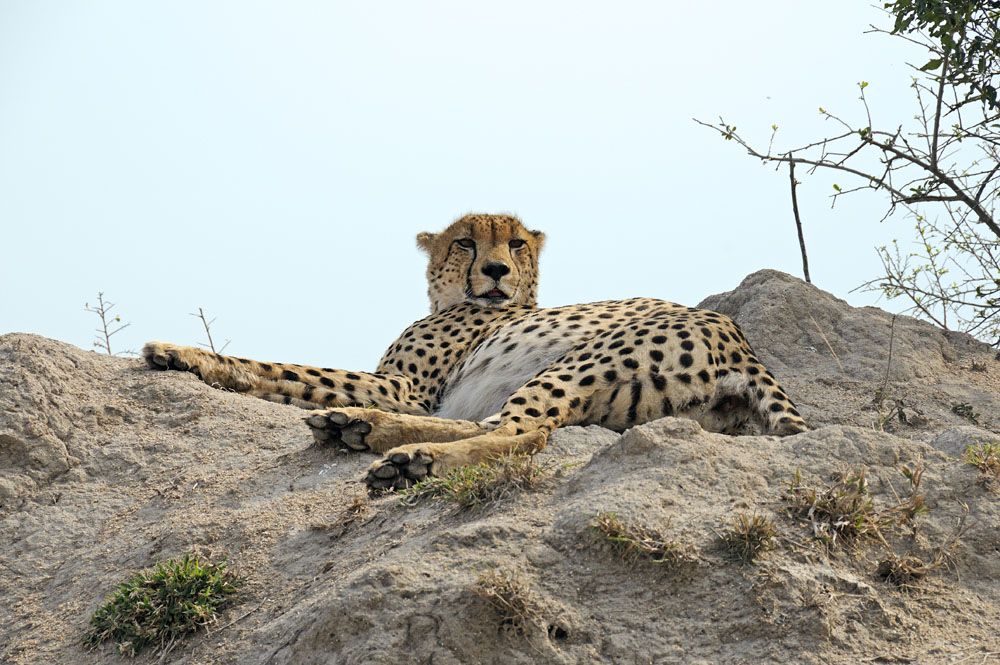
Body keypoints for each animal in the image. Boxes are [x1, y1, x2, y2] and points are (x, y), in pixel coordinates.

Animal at [143, 213, 807, 490]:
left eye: (516, 244)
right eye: (465, 242)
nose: (494, 270)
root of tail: (740, 340)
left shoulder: (403, 387)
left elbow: (281, 366)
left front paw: (179, 352)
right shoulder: (410, 390)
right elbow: (291, 375)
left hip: (581, 360)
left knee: (523, 432)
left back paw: (406, 457)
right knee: (494, 424)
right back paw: (362, 430)